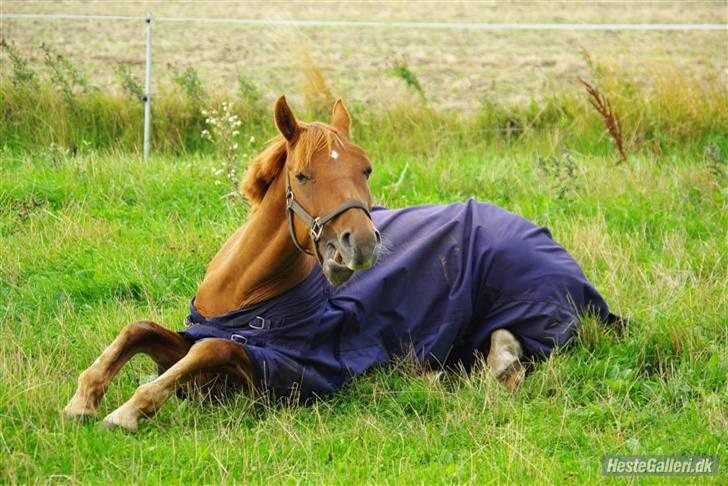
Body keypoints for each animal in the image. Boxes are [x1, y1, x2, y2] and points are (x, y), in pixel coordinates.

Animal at [64, 97, 620, 430]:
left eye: (366, 169)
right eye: (303, 175)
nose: (362, 244)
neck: (249, 294)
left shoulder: (278, 373)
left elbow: (212, 350)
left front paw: (126, 411)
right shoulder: (197, 349)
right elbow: (140, 329)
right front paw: (83, 400)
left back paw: (495, 363)